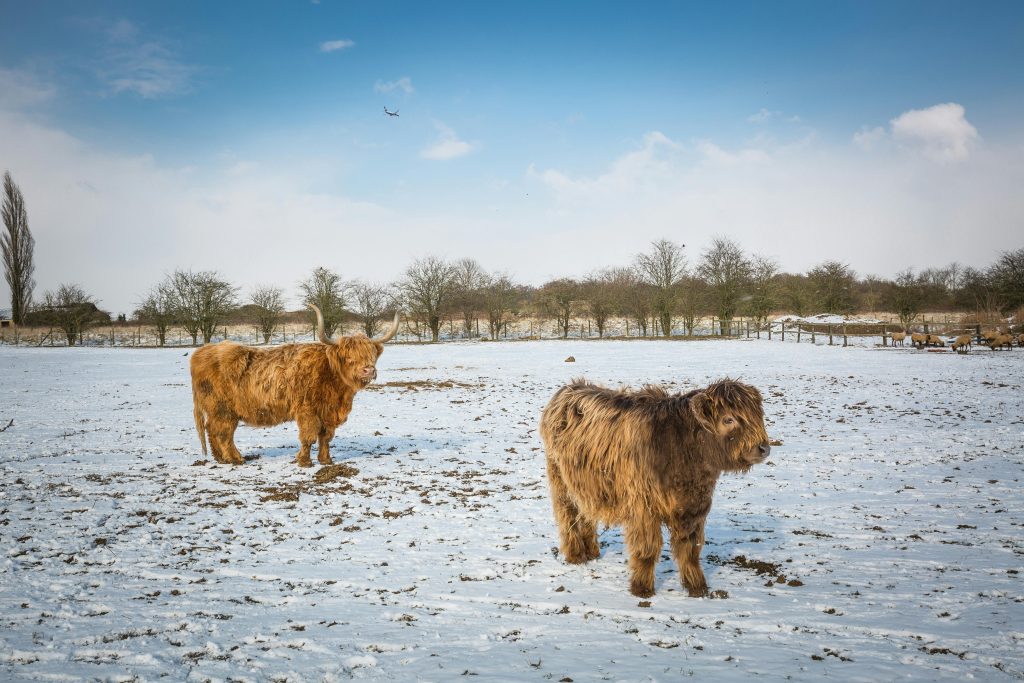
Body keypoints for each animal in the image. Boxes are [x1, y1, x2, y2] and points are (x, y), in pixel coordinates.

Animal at [190, 305, 397, 471]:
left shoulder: (328, 413)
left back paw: (220, 458)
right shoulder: (308, 410)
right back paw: (235, 459)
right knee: (224, 433)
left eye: (371, 354)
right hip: (223, 409)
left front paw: (326, 460)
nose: (368, 370)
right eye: (349, 357)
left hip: (218, 410)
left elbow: (326, 437)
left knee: (212, 429)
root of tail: (204, 351)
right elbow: (309, 436)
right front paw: (305, 461)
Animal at [544, 378, 770, 598]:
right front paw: (642, 589)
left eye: (758, 415)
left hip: (586, 486)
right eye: (728, 419)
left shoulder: (693, 509)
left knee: (585, 514)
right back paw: (575, 555)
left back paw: (591, 552)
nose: (764, 448)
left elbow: (690, 550)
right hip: (560, 482)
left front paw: (697, 587)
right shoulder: (644, 507)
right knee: (568, 515)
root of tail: (569, 388)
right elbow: (647, 549)